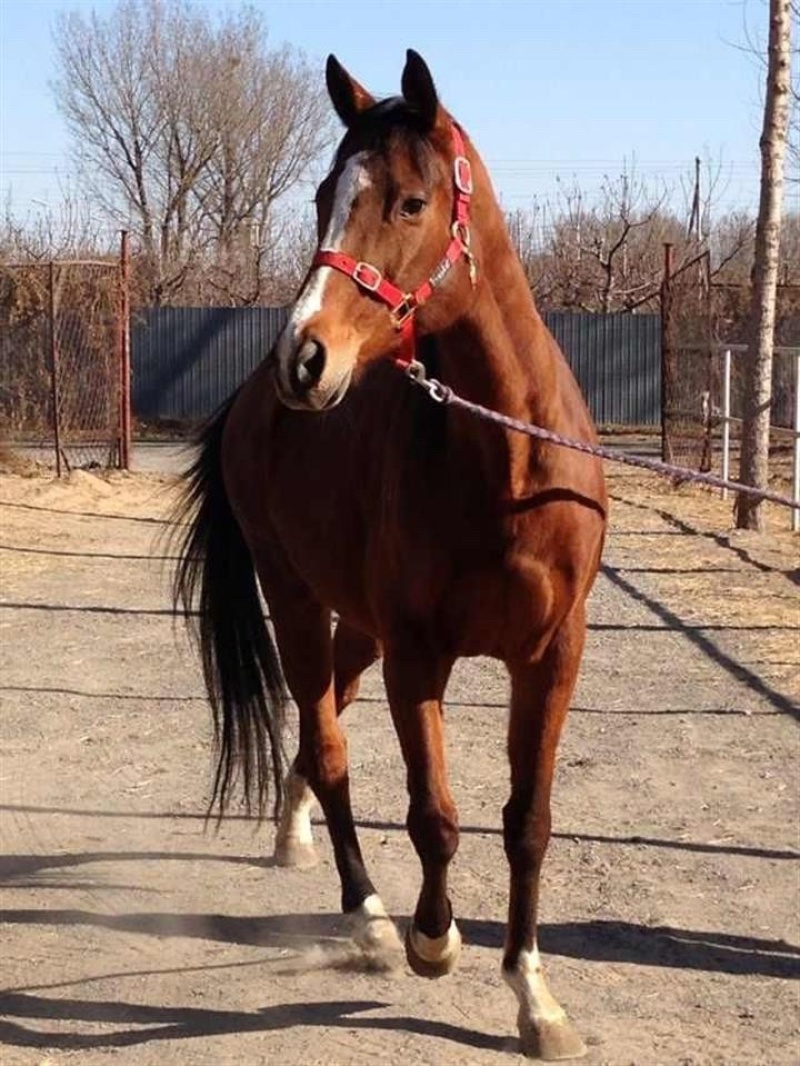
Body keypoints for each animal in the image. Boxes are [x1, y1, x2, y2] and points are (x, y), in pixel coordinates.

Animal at [174, 50, 607, 1061]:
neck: (510, 465)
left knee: (321, 713)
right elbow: (434, 816)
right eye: (323, 194)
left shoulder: (552, 656)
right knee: (328, 746)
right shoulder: (421, 659)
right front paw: (432, 940)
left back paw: (295, 837)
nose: (305, 357)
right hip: (297, 599)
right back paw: (367, 917)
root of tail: (249, 402)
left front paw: (536, 996)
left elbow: (528, 821)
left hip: (356, 627)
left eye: (410, 201)